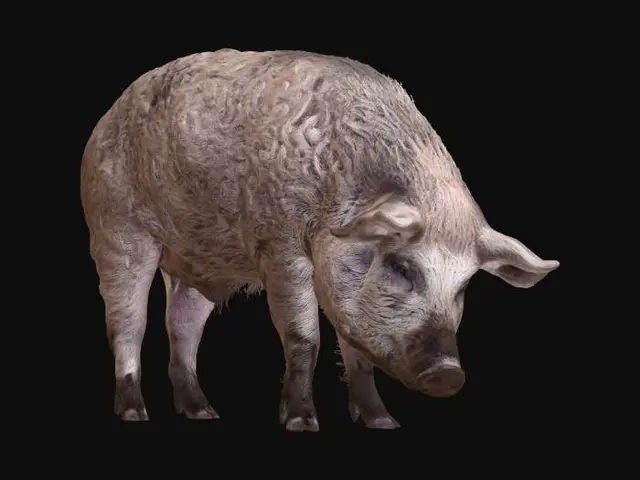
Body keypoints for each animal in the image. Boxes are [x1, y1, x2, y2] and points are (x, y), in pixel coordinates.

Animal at [80, 48, 559, 431]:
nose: (448, 374)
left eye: (463, 287)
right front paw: (301, 423)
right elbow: (303, 337)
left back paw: (204, 413)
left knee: (181, 327)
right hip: (116, 230)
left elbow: (357, 353)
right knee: (128, 323)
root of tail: (107, 116)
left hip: (199, 266)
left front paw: (383, 423)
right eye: (402, 267)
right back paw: (134, 413)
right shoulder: (280, 246)